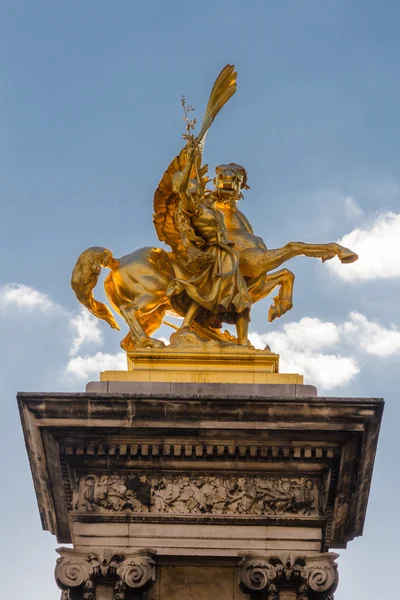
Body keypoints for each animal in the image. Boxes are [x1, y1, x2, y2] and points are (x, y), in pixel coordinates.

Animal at [70, 64, 358, 352]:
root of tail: (117, 261)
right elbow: (294, 246)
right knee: (131, 312)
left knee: (128, 339)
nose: (228, 181)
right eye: (221, 174)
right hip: (153, 294)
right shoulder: (256, 263)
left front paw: (275, 310)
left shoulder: (254, 284)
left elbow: (284, 275)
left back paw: (167, 341)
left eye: (237, 174)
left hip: (157, 309)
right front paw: (343, 253)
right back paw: (163, 341)